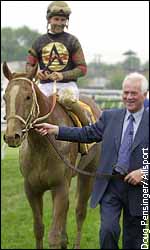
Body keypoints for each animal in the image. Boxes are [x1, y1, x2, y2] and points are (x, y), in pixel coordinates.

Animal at [2, 62, 101, 248]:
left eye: (28, 97)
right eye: (5, 97)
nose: (12, 136)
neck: (42, 146)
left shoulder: (60, 186)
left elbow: (53, 235)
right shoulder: (31, 188)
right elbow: (39, 229)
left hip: (88, 175)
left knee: (80, 212)